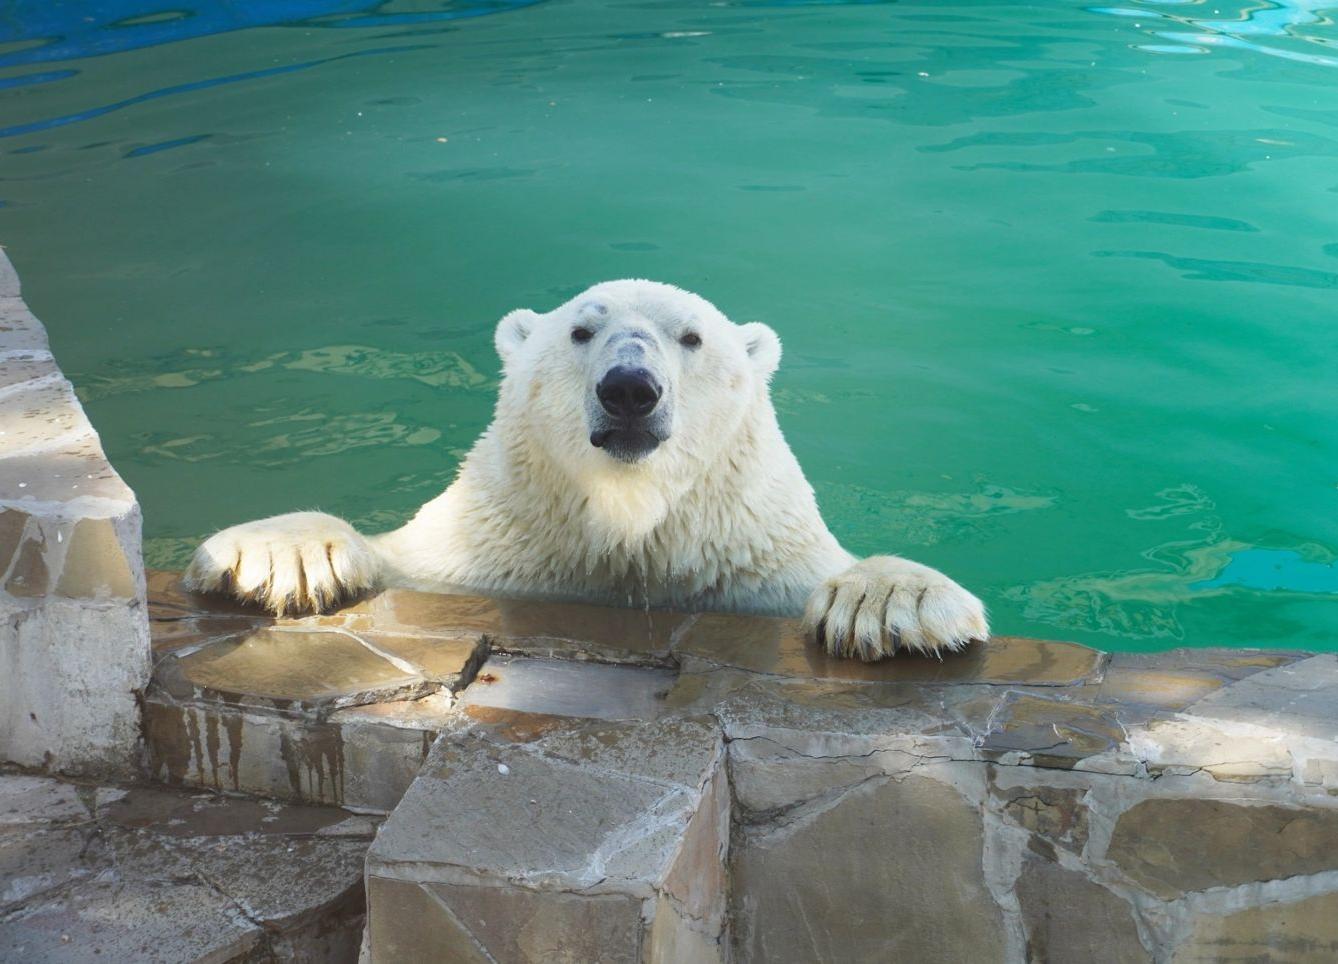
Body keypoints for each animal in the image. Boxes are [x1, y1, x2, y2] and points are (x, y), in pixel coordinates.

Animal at [185, 277, 984, 656]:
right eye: (580, 331)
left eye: (691, 337)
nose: (629, 388)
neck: (627, 528)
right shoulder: (487, 551)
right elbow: (396, 557)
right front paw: (276, 555)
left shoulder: (755, 567)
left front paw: (894, 603)